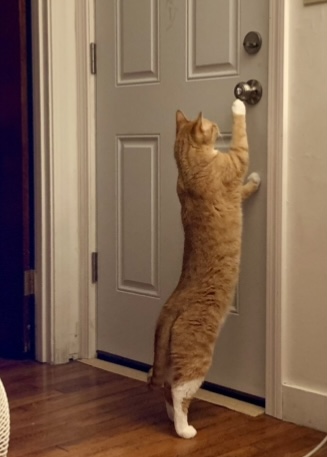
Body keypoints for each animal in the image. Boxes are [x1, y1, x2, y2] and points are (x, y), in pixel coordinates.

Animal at [149, 98, 262, 436]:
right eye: (212, 127)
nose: (217, 127)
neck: (187, 168)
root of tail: (171, 305)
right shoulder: (237, 161)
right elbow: (242, 141)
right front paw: (238, 107)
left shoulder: (233, 187)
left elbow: (244, 190)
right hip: (197, 356)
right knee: (178, 390)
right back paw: (184, 429)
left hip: (173, 357)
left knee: (166, 386)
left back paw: (172, 417)